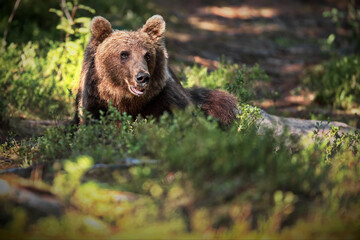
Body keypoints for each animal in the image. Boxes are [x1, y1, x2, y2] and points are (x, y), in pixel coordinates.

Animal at [73, 14, 236, 125]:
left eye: (147, 55)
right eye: (124, 54)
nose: (142, 77)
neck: (127, 101)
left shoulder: (163, 99)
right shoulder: (96, 99)